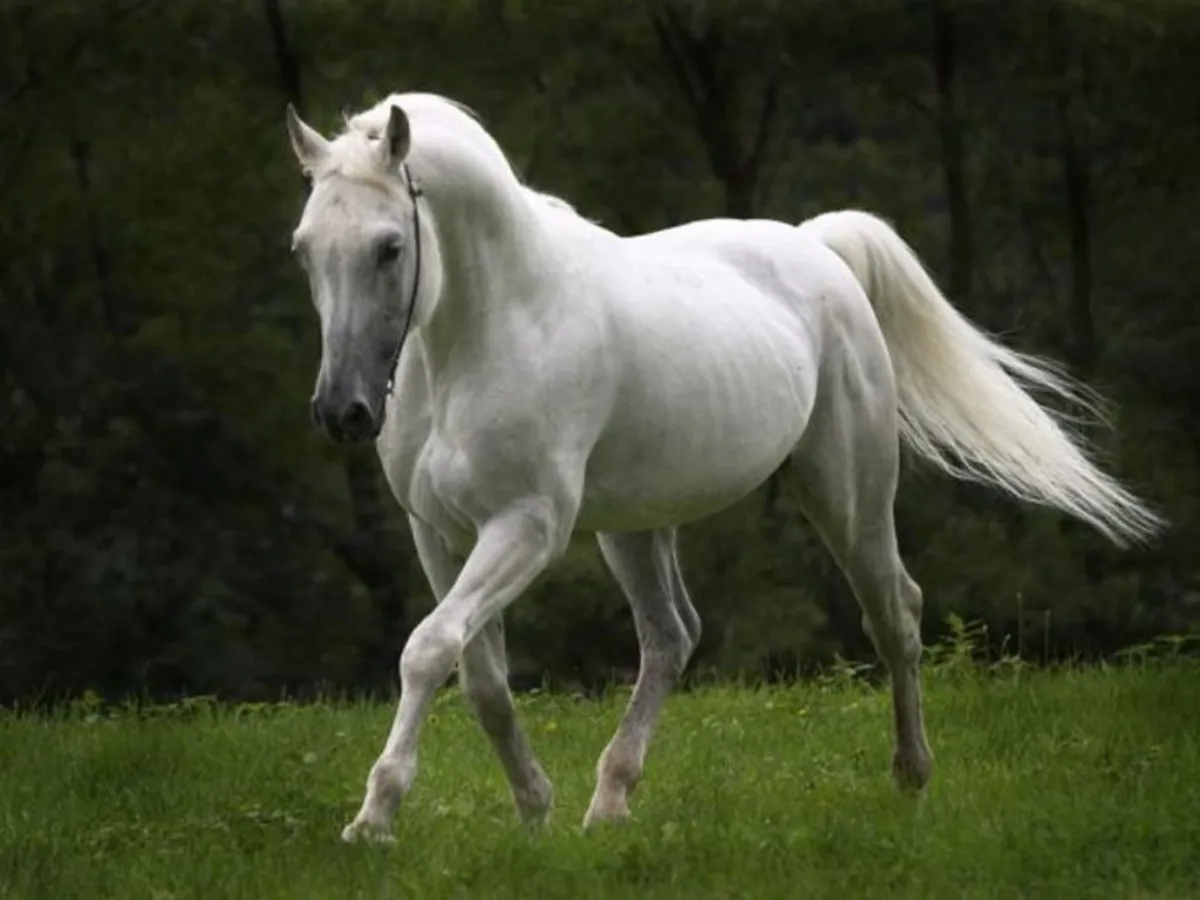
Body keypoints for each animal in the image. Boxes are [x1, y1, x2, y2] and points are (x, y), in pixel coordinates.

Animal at [280, 93, 1161, 844]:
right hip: (634, 526)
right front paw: (534, 809)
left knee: (894, 615)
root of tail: (818, 247)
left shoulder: (526, 526)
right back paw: (608, 804)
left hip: (845, 495)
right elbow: (479, 674)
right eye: (304, 250)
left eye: (390, 247)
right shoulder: (438, 533)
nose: (341, 412)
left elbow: (428, 649)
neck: (490, 329)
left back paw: (911, 780)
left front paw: (375, 818)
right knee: (673, 636)